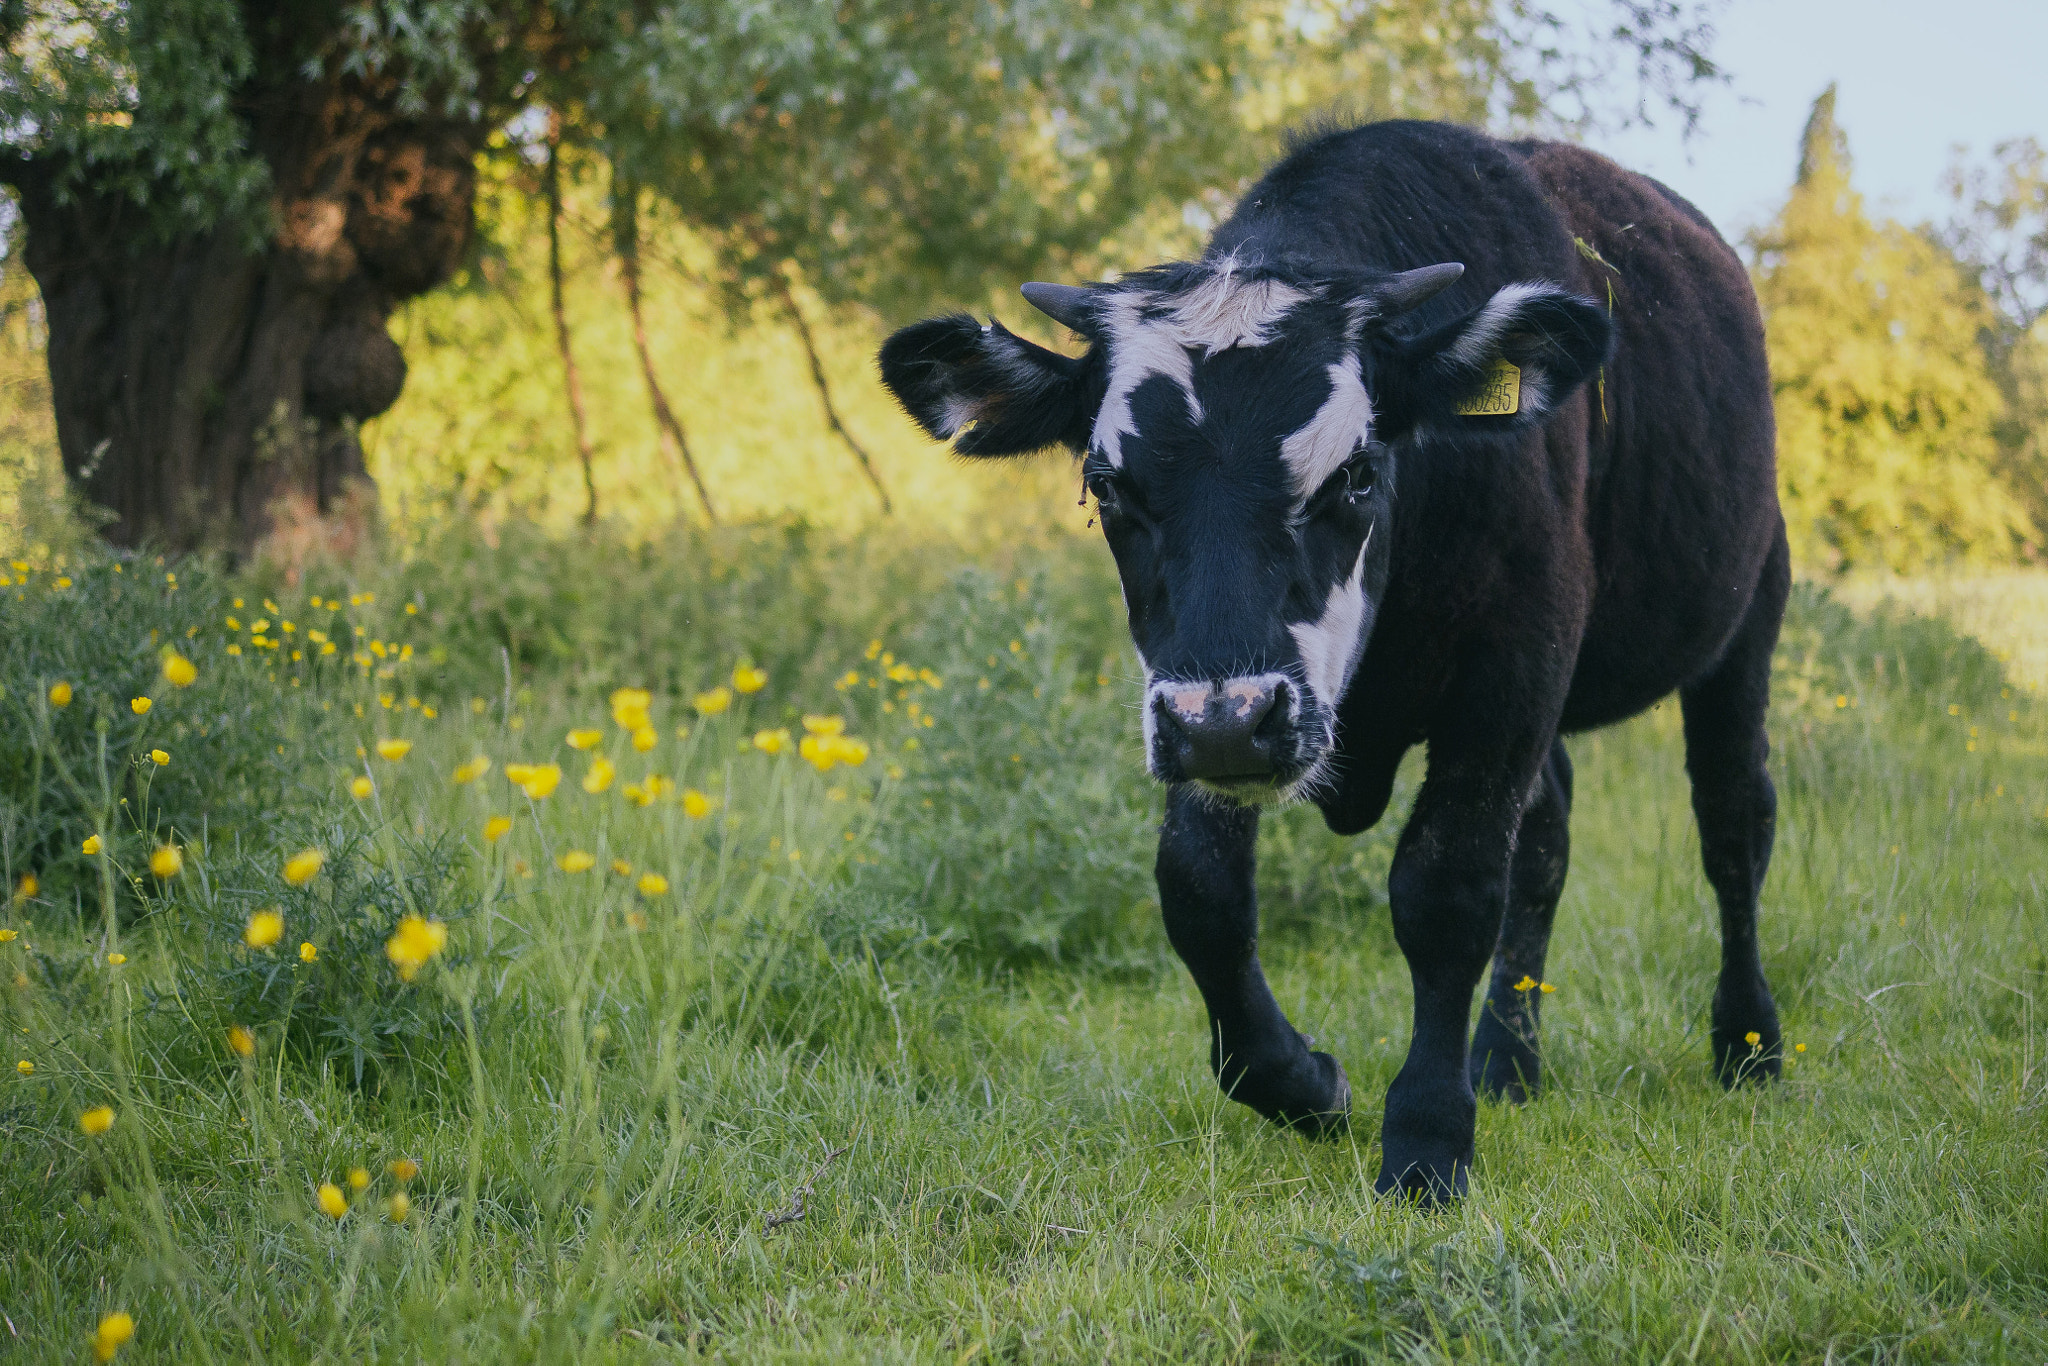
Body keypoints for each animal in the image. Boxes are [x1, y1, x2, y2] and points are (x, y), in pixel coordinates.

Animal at [880, 120, 1794, 1204]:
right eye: (1106, 483)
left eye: (1356, 472)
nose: (1228, 724)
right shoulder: (1204, 701)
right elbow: (1199, 889)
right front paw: (1303, 1082)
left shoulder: (1516, 656)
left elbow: (1446, 887)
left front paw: (1428, 1139)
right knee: (1548, 837)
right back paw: (1506, 1058)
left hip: (1746, 612)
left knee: (1731, 823)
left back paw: (1746, 1042)